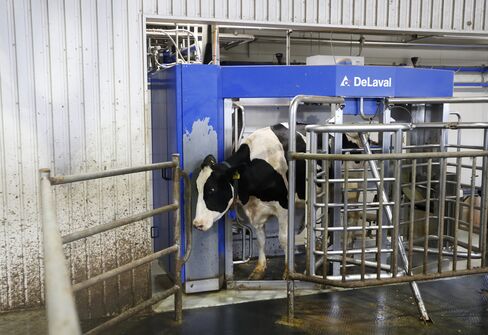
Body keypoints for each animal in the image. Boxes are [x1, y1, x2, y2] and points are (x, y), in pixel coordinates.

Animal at [193, 123, 360, 280]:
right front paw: (259, 269)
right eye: (197, 189)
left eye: (212, 189)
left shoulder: (283, 208)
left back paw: (348, 255)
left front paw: (287, 271)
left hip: (351, 186)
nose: (197, 224)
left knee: (352, 217)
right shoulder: (256, 211)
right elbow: (261, 239)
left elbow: (284, 239)